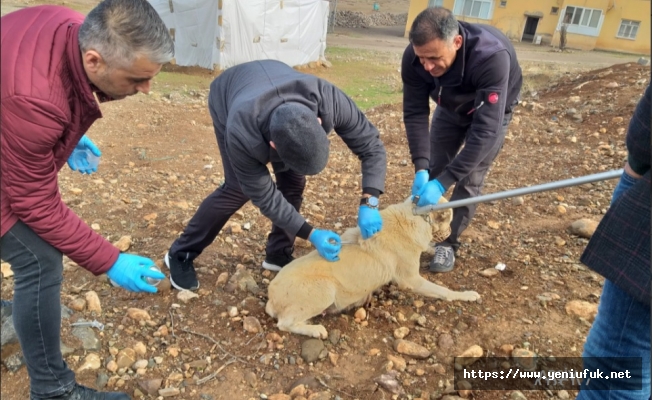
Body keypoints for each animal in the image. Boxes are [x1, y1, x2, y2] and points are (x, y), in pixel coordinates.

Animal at [264, 197, 478, 338]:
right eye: (449, 220)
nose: (450, 234)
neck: (414, 215)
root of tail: (271, 298)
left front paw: (434, 250)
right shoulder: (411, 280)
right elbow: (444, 291)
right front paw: (467, 295)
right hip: (325, 290)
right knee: (284, 324)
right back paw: (315, 330)